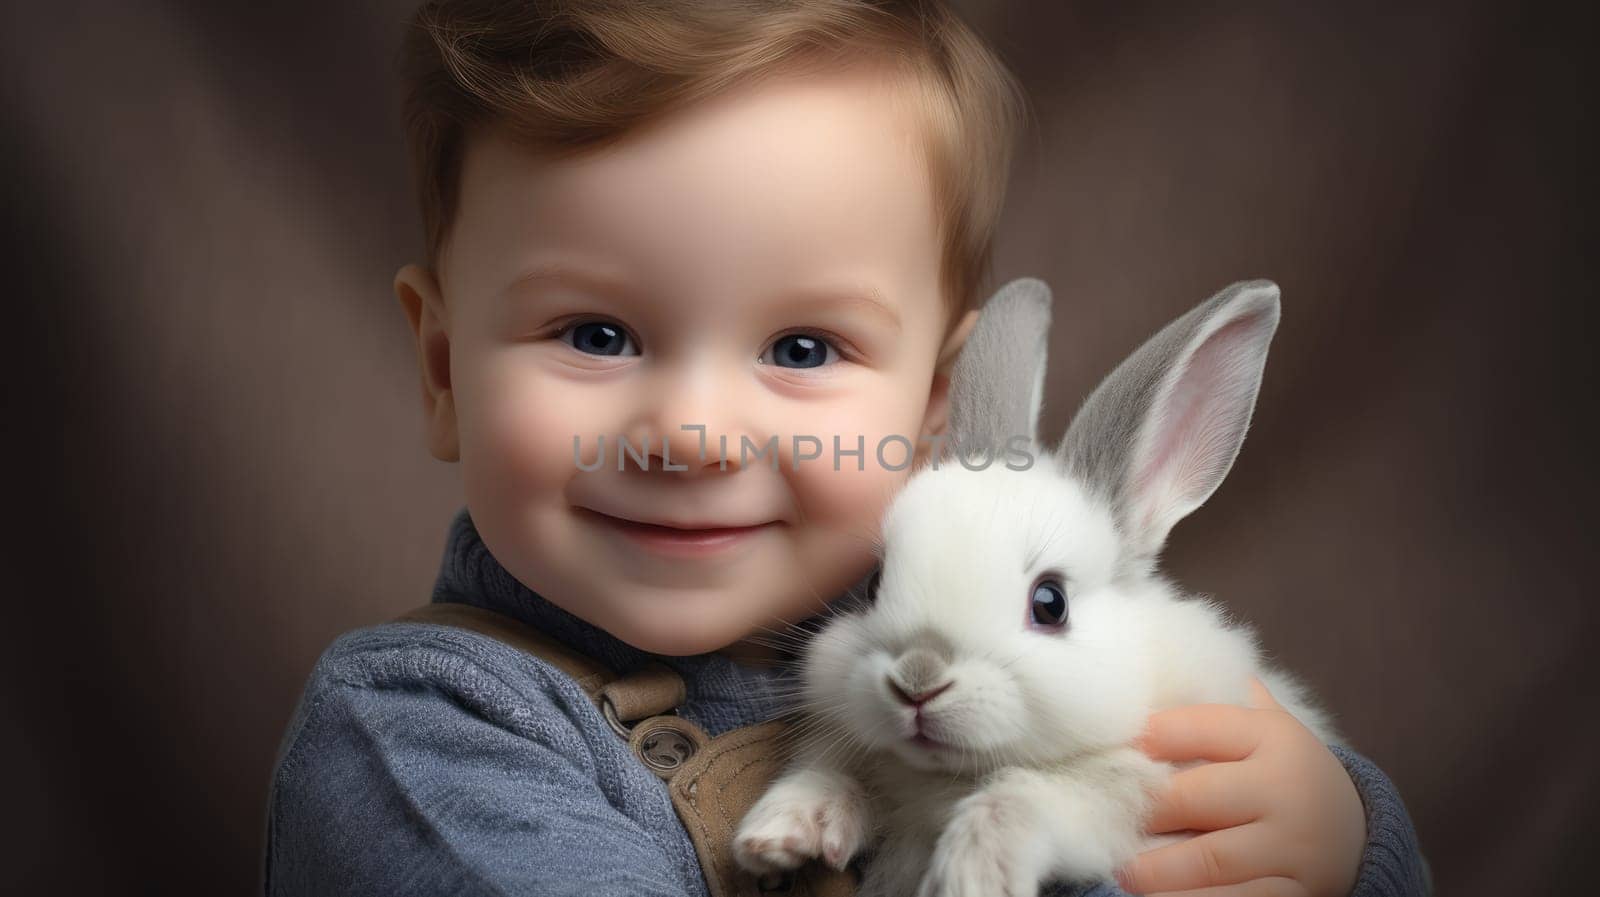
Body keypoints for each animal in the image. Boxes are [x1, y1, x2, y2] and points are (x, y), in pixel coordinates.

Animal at [732, 278, 1344, 895]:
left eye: (1052, 604)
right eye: (874, 584)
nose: (917, 680)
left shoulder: (1127, 794)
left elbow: (1022, 799)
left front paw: (972, 874)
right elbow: (831, 771)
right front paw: (778, 833)